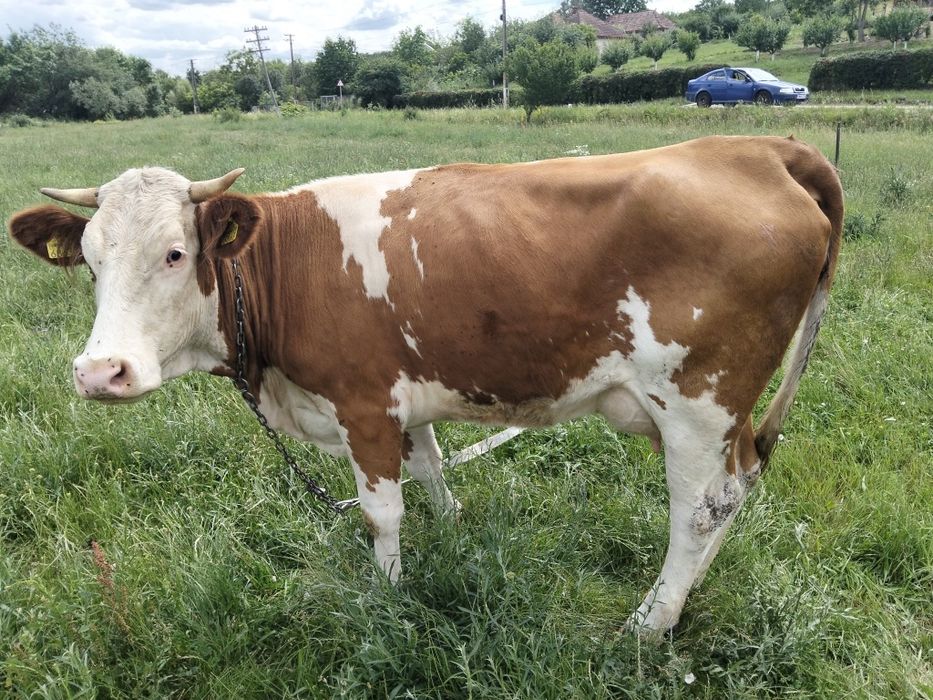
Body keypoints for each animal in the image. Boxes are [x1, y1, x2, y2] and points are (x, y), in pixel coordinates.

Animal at [9, 135, 842, 633]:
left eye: (176, 253)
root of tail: (756, 147)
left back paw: (652, 619)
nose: (100, 372)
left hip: (698, 400)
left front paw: (386, 596)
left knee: (701, 508)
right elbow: (433, 468)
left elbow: (382, 513)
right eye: (89, 261)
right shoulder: (405, 399)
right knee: (735, 489)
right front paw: (453, 534)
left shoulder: (362, 405)